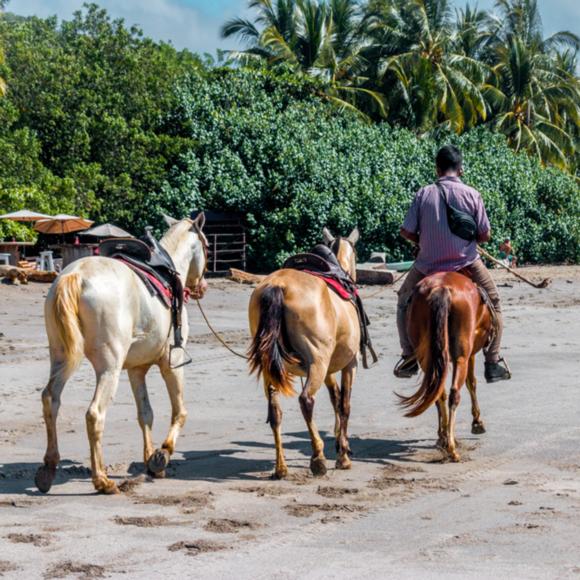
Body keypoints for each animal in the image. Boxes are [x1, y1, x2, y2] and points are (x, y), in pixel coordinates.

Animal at [35, 213, 208, 494]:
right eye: (206, 246)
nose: (202, 286)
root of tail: (76, 275)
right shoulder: (172, 363)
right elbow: (180, 411)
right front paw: (162, 454)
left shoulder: (136, 369)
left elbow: (145, 413)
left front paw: (150, 458)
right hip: (110, 367)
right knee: (95, 414)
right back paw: (102, 480)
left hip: (61, 356)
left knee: (51, 399)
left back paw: (49, 469)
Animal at [247, 229, 360, 478]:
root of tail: (278, 286)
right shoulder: (349, 364)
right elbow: (345, 405)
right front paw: (343, 455)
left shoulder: (330, 369)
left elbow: (335, 398)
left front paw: (340, 444)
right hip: (317, 362)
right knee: (306, 400)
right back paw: (318, 458)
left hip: (271, 367)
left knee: (275, 412)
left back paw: (281, 468)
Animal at [398, 272, 494, 462]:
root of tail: (441, 288)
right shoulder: (470, 354)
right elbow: (472, 383)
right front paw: (477, 422)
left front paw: (442, 434)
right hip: (461, 356)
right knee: (454, 393)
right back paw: (452, 448)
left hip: (427, 357)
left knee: (437, 392)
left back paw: (444, 438)